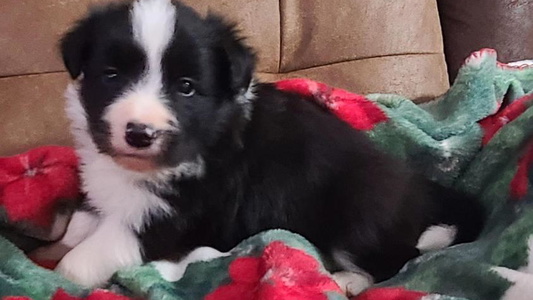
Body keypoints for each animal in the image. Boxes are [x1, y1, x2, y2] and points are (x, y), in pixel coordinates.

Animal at [32, 0, 482, 294]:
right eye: (111, 75)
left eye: (186, 87)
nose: (139, 133)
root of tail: (416, 189)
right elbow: (79, 225)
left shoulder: (176, 216)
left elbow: (83, 260)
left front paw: (62, 271)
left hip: (356, 210)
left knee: (392, 259)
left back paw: (345, 280)